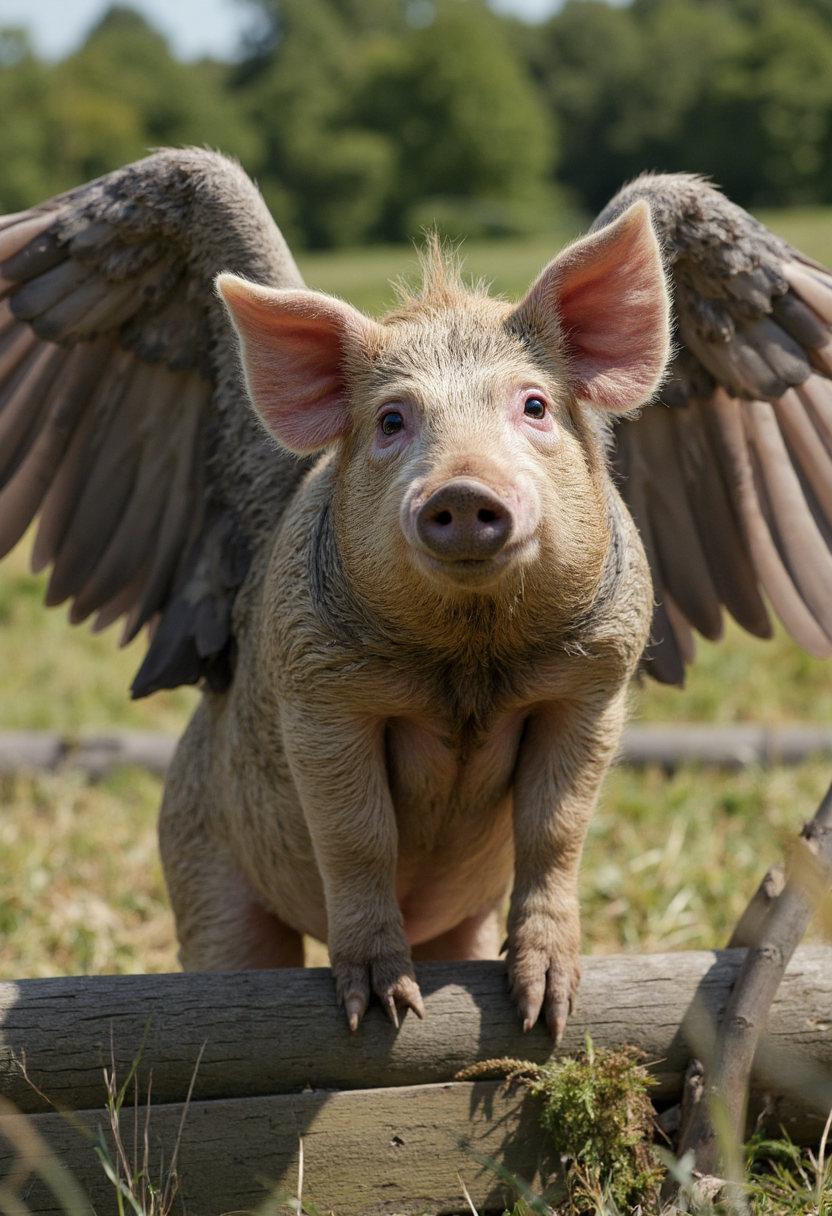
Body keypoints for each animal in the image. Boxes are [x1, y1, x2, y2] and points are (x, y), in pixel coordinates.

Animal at [157, 199, 670, 1040]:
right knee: (231, 951)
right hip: (198, 861)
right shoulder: (318, 693)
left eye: (534, 405)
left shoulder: (595, 682)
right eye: (392, 420)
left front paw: (547, 1014)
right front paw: (386, 1011)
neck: (467, 660)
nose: (461, 488)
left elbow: (555, 829)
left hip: (461, 920)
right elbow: (357, 836)